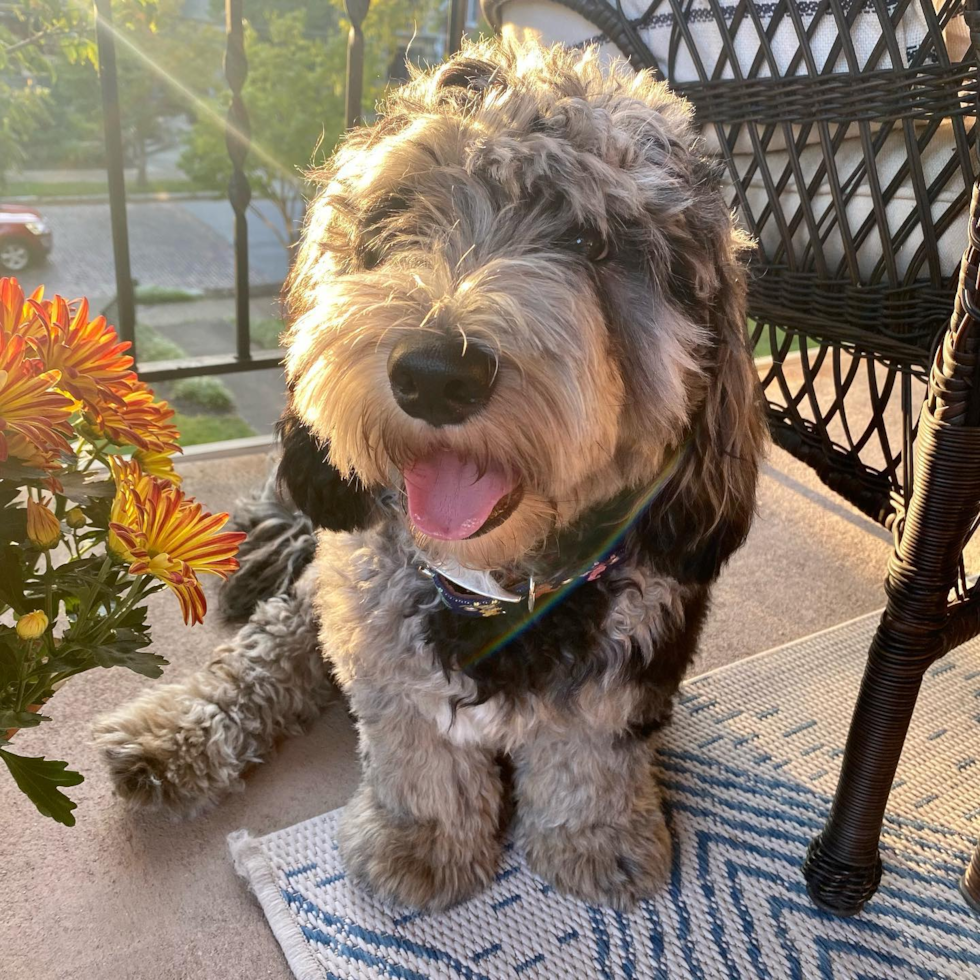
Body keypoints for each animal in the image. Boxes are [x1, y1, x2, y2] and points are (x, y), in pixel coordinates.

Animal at [92, 38, 764, 912]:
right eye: (397, 218)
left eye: (595, 243)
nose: (436, 374)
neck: (495, 589)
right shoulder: (376, 626)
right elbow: (416, 750)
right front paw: (423, 841)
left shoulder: (635, 649)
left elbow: (592, 754)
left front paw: (598, 839)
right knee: (265, 654)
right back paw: (172, 738)